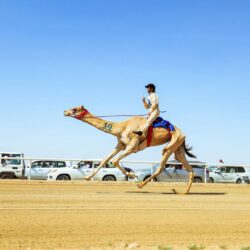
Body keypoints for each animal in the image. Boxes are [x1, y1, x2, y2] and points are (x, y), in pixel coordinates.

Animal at [63, 104, 196, 194]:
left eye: (74, 109)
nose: (65, 111)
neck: (121, 127)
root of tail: (183, 134)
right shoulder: (120, 145)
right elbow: (106, 159)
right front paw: (87, 177)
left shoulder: (132, 147)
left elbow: (115, 161)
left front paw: (131, 175)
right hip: (178, 147)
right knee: (189, 168)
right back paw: (183, 192)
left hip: (172, 143)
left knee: (162, 165)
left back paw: (141, 185)